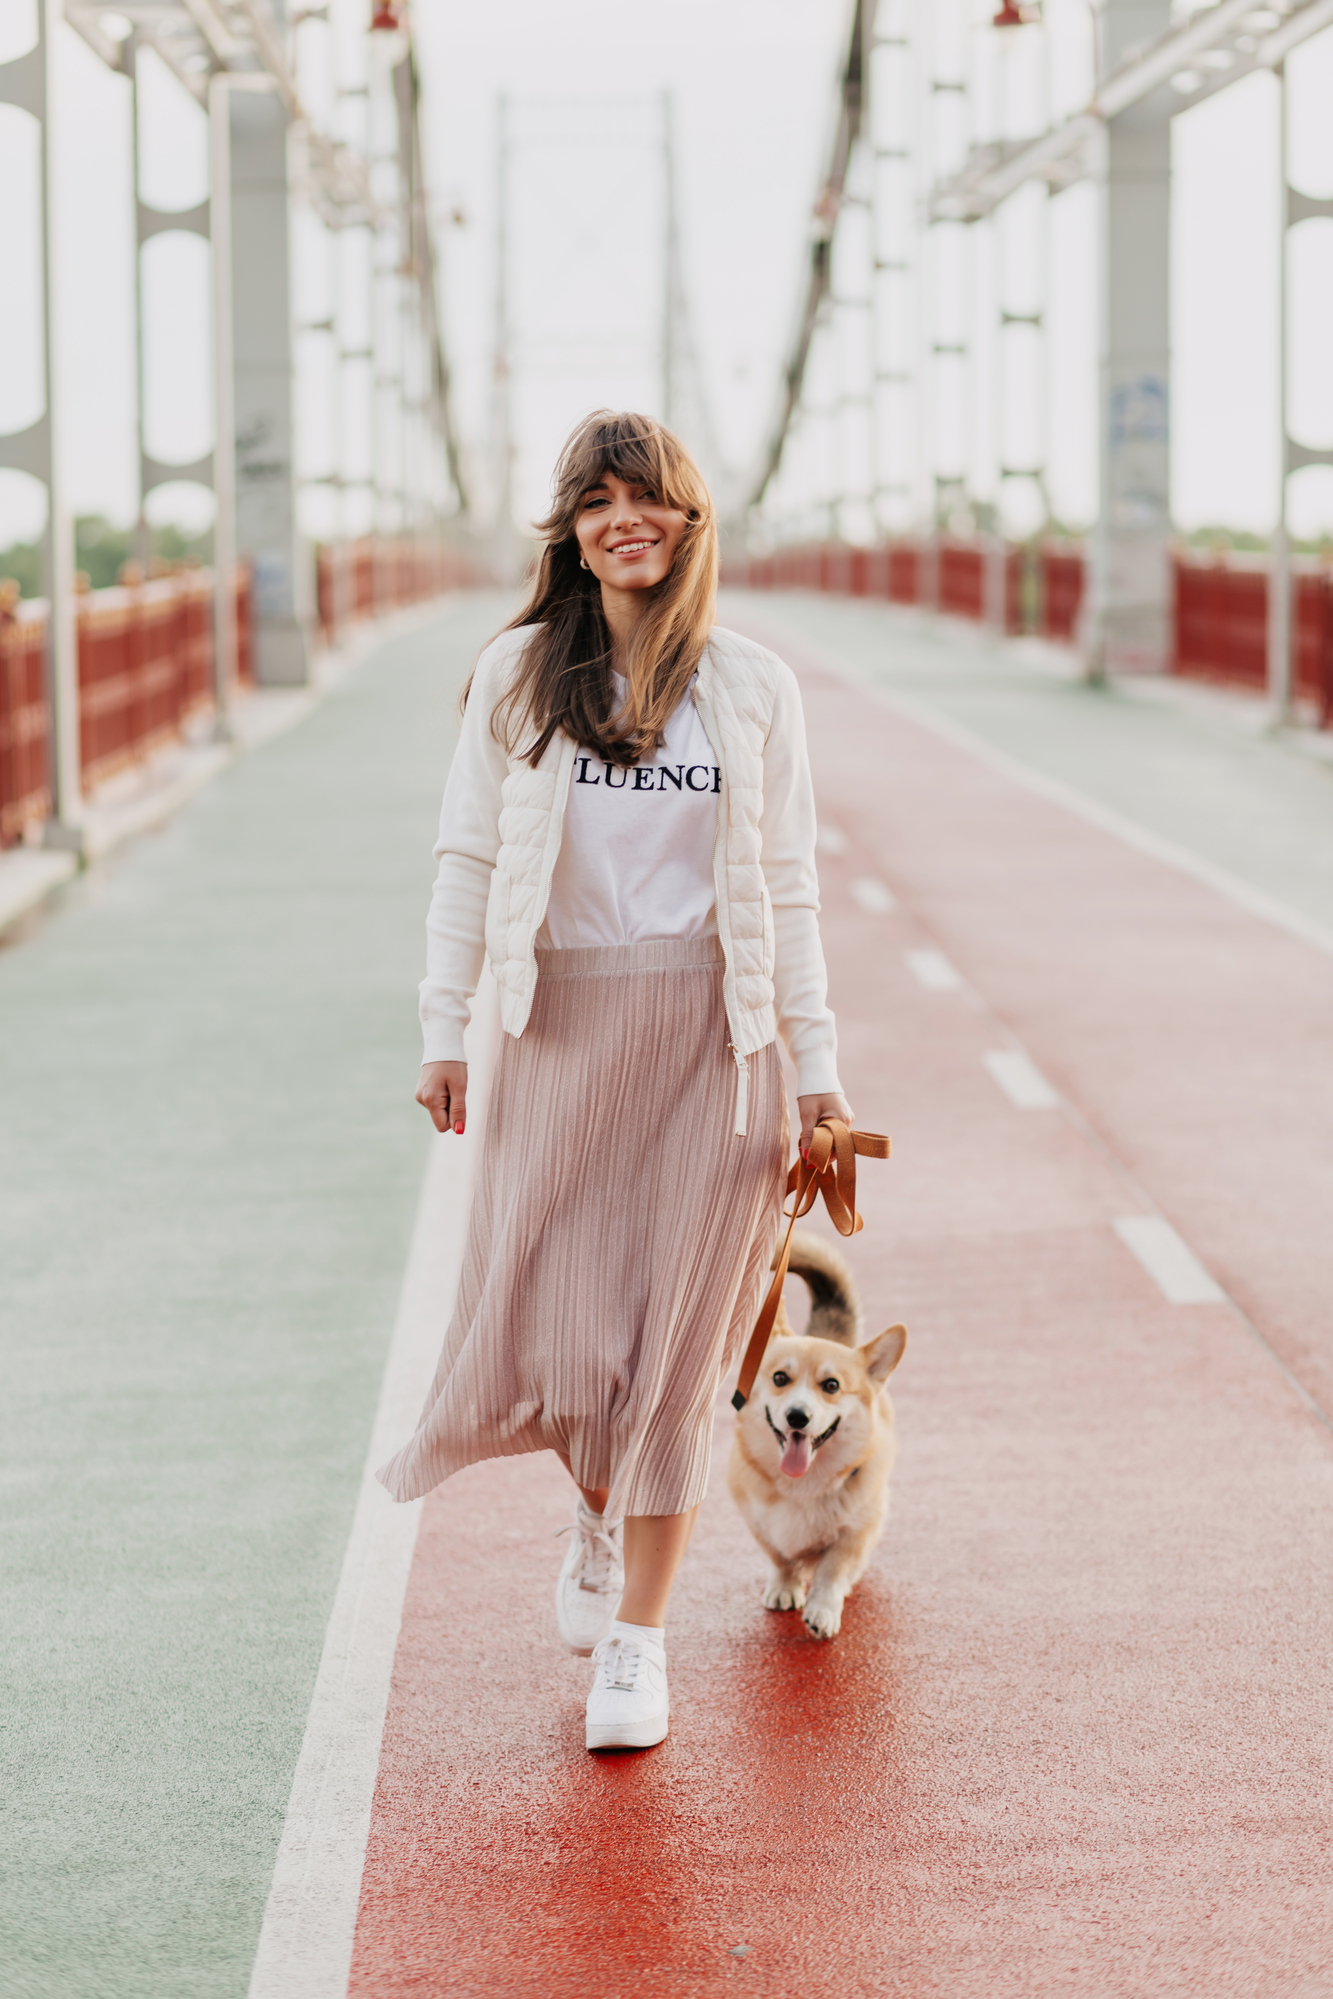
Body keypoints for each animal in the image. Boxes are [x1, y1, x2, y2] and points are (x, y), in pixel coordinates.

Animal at [731, 1231, 907, 1639]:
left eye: (831, 1385)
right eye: (780, 1378)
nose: (798, 1417)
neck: (802, 1485)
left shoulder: (856, 1530)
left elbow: (832, 1569)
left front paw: (822, 1610)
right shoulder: (756, 1521)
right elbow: (780, 1557)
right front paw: (785, 1587)